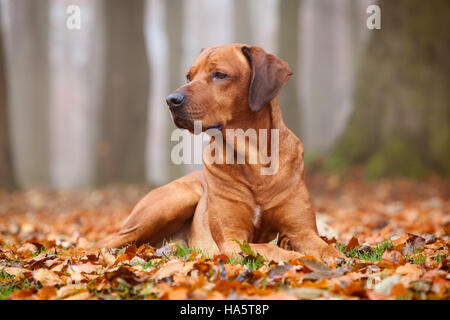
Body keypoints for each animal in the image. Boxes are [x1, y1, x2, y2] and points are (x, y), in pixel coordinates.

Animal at [99, 43, 344, 262]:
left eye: (219, 75)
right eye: (189, 76)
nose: (170, 100)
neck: (254, 159)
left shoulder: (302, 231)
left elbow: (324, 247)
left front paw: (337, 259)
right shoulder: (232, 240)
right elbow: (268, 247)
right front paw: (297, 258)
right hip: (175, 200)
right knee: (105, 242)